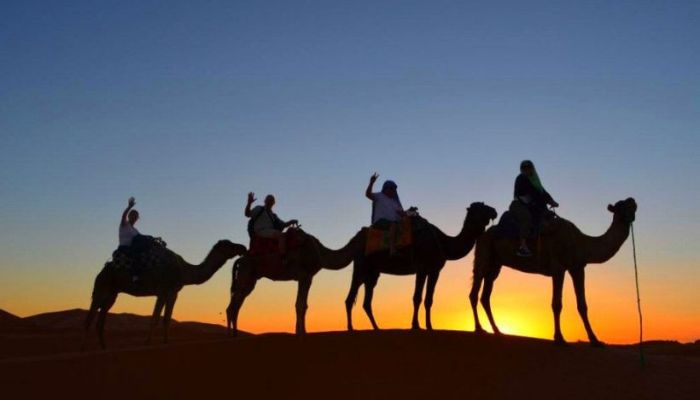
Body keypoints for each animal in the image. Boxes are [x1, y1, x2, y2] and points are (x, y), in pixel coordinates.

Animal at [83, 239, 246, 348]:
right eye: (229, 244)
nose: (243, 247)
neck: (184, 271)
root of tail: (103, 269)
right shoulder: (162, 291)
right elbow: (155, 318)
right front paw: (147, 342)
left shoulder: (173, 293)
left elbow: (166, 319)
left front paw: (166, 342)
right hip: (101, 287)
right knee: (89, 317)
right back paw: (83, 348)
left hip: (112, 293)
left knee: (101, 317)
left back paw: (103, 347)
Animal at [227, 228, 364, 334]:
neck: (320, 253)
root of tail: (240, 260)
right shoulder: (303, 276)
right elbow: (300, 305)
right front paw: (301, 332)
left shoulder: (309, 277)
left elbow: (304, 305)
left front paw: (301, 331)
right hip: (246, 274)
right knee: (233, 306)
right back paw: (230, 335)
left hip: (250, 279)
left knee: (237, 304)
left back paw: (235, 334)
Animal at [344, 203, 498, 332]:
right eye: (481, 207)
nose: (494, 211)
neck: (444, 242)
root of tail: (356, 238)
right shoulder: (422, 268)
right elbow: (417, 297)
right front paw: (415, 325)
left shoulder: (434, 270)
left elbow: (429, 299)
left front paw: (429, 326)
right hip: (361, 265)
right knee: (351, 297)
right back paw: (351, 328)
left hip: (372, 272)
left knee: (365, 301)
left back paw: (376, 328)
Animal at [468, 198, 636, 346]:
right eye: (621, 207)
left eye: (633, 206)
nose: (632, 201)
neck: (580, 242)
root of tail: (482, 235)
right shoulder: (558, 268)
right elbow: (556, 304)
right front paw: (559, 339)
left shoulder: (577, 267)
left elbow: (582, 305)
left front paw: (595, 341)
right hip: (483, 254)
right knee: (474, 292)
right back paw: (479, 329)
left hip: (495, 265)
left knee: (485, 295)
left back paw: (497, 331)